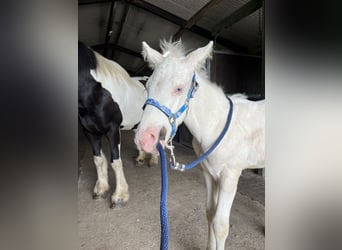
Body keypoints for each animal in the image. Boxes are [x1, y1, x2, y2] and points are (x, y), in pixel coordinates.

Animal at [78, 42, 157, 208]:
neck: (97, 92)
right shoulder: (90, 131)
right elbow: (98, 159)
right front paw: (101, 189)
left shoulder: (113, 130)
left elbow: (115, 161)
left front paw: (120, 196)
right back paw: (140, 158)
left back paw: (153, 160)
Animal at [135, 40, 266, 249]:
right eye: (148, 86)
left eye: (179, 89)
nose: (144, 139)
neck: (217, 126)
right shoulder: (209, 173)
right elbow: (210, 213)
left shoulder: (230, 176)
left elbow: (221, 225)